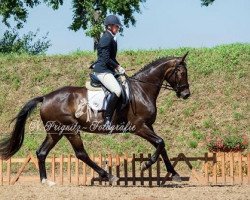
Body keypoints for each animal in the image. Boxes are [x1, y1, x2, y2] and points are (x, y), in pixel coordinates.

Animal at [0, 52, 189, 184]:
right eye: (181, 72)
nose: (186, 94)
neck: (142, 90)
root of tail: (45, 97)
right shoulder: (139, 127)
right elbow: (160, 143)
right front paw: (146, 165)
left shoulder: (149, 126)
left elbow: (161, 146)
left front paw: (174, 174)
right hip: (70, 130)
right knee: (81, 154)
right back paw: (108, 176)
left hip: (55, 132)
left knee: (41, 152)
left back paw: (46, 181)